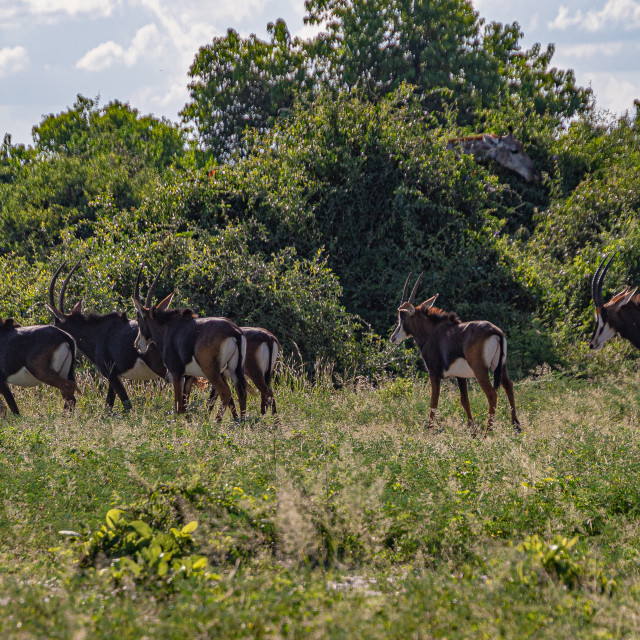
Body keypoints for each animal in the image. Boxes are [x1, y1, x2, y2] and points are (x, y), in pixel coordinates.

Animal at [47, 262, 168, 412]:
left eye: (56, 323)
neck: (97, 333)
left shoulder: (110, 374)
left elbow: (125, 404)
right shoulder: (114, 376)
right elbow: (109, 405)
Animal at [132, 270, 248, 420]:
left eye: (138, 318)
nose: (137, 344)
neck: (169, 328)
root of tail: (234, 331)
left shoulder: (176, 373)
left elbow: (178, 407)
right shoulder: (189, 376)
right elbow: (184, 407)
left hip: (211, 371)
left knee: (226, 393)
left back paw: (216, 422)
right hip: (233, 370)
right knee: (241, 393)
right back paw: (241, 421)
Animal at [390, 272, 520, 438]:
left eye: (402, 317)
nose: (393, 337)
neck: (432, 332)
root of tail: (496, 332)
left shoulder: (434, 373)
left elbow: (433, 402)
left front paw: (429, 430)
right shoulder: (460, 376)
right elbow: (465, 400)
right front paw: (472, 430)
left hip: (480, 370)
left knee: (492, 394)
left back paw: (487, 433)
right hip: (500, 366)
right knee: (509, 386)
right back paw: (516, 427)